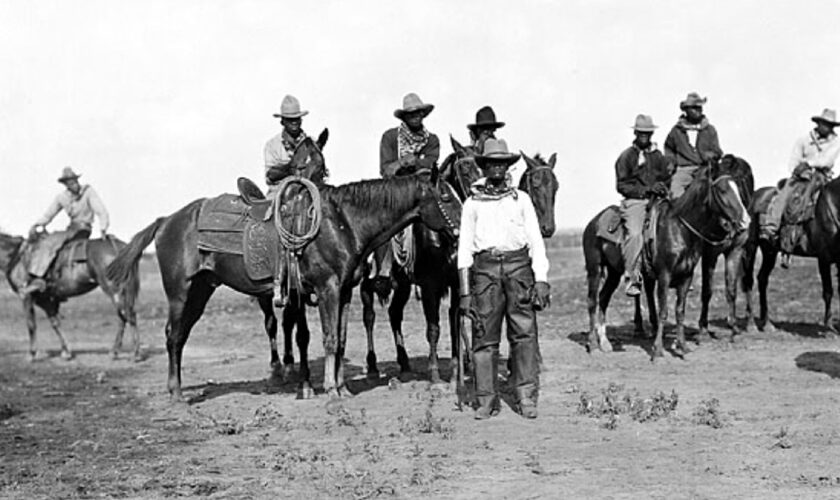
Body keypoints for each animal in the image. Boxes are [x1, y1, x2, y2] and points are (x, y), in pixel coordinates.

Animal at [0, 232, 139, 362]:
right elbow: (55, 323)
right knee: (124, 316)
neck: (16, 258)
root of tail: (121, 247)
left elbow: (31, 325)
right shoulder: (46, 301)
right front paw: (66, 352)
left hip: (114, 290)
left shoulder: (26, 296)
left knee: (127, 315)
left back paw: (135, 354)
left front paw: (31, 354)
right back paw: (115, 352)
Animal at [106, 166, 462, 400]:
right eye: (445, 195)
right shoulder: (327, 288)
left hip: (200, 291)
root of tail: (166, 221)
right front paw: (331, 391)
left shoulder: (345, 291)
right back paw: (176, 394)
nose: (462, 229)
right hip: (180, 294)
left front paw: (343, 387)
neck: (342, 222)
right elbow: (329, 339)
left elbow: (341, 339)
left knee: (179, 337)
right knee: (172, 336)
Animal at [584, 158, 748, 358]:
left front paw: (682, 346)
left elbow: (680, 311)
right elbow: (663, 311)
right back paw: (592, 343)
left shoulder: (686, 277)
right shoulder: (664, 275)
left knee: (603, 298)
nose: (745, 221)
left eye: (738, 188)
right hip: (595, 268)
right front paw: (657, 349)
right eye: (723, 190)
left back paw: (605, 342)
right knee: (592, 301)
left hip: (614, 272)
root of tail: (593, 223)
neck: (680, 229)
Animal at [744, 174, 840, 334]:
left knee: (762, 278)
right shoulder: (823, 259)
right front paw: (829, 327)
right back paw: (751, 324)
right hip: (750, 247)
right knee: (748, 281)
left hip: (769, 251)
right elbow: (828, 291)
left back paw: (767, 323)